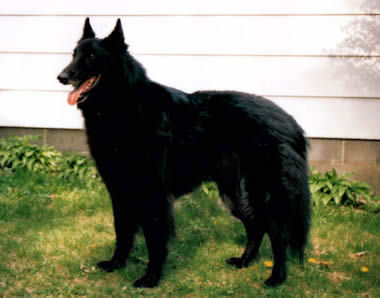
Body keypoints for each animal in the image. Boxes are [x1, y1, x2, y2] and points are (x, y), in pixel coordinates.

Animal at [57, 17, 312, 288]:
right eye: (74, 54)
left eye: (91, 56)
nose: (61, 77)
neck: (121, 107)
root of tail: (292, 123)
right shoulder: (119, 190)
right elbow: (122, 231)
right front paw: (117, 264)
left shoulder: (153, 195)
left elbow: (154, 239)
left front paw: (151, 278)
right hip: (234, 195)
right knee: (256, 226)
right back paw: (244, 261)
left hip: (265, 194)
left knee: (278, 235)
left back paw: (276, 278)